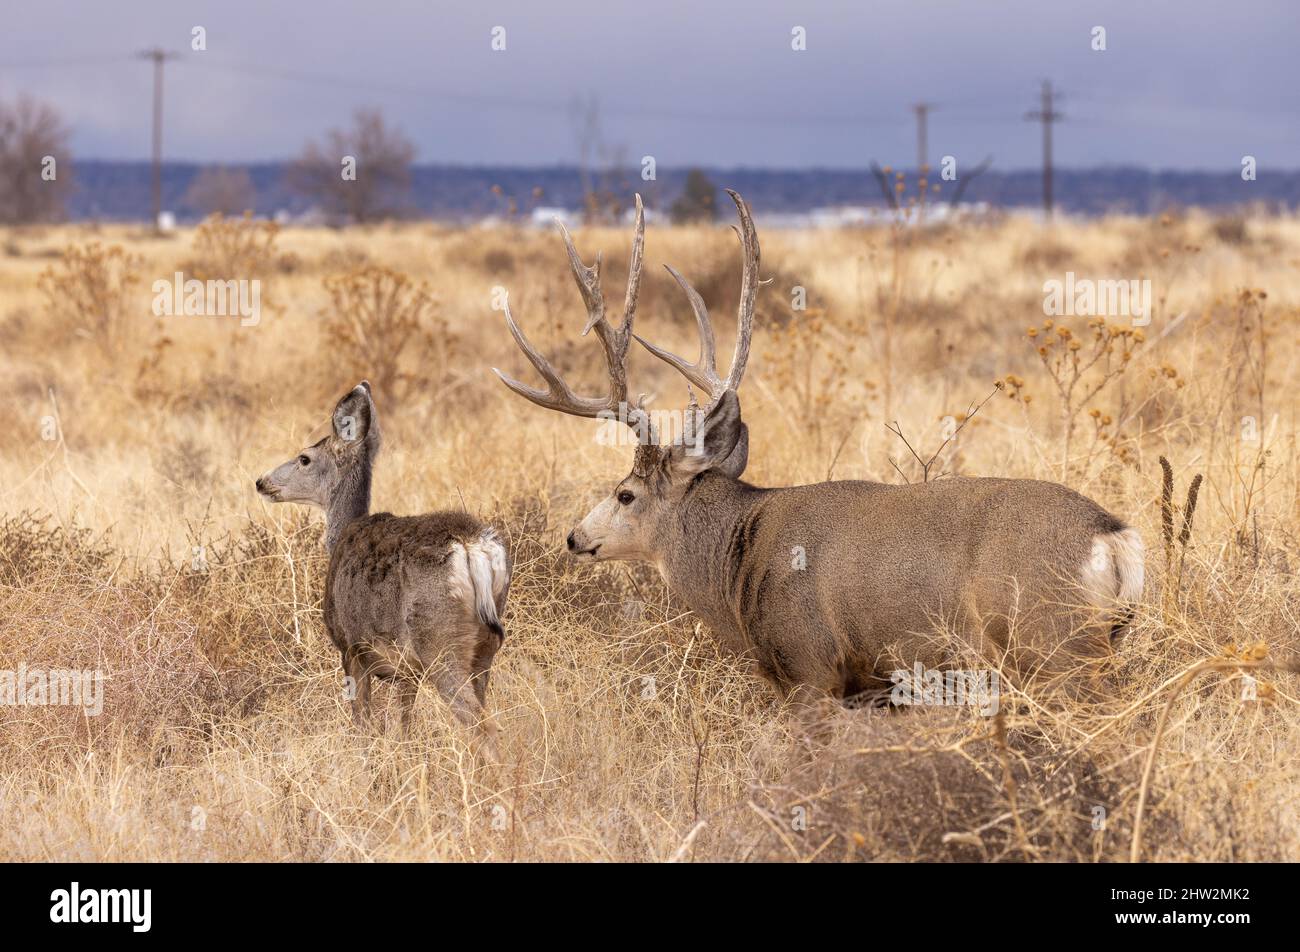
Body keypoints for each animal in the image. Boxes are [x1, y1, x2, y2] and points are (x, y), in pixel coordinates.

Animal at [255, 381, 510, 752]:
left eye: (304, 458)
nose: (261, 482)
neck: (342, 534)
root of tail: (470, 547)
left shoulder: (351, 646)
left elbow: (364, 723)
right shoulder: (406, 670)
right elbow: (404, 724)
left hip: (438, 641)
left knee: (484, 728)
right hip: (485, 646)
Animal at [495, 191, 1144, 707]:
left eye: (625, 493)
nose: (574, 537)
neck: (737, 558)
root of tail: (1114, 537)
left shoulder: (810, 667)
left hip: (1053, 646)